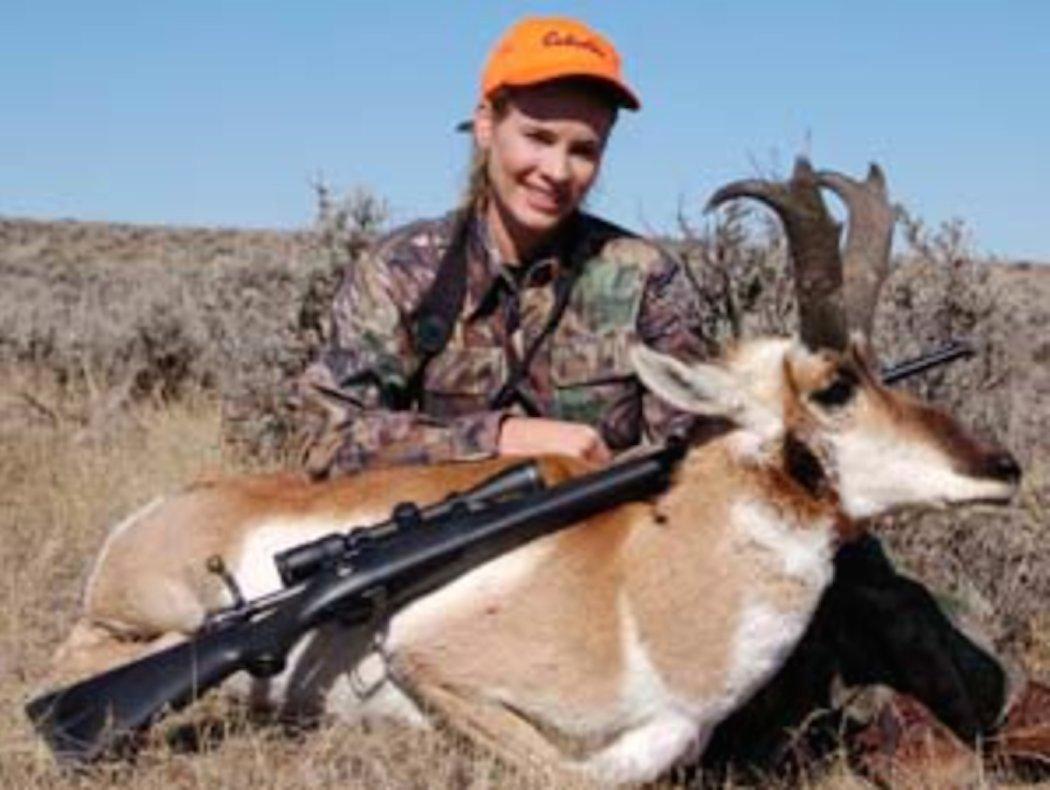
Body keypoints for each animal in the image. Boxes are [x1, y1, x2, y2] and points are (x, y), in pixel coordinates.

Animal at [47, 160, 1016, 785]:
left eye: (885, 371)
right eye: (834, 387)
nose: (1002, 466)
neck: (639, 582)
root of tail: (163, 508)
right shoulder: (432, 664)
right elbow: (579, 770)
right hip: (156, 617)